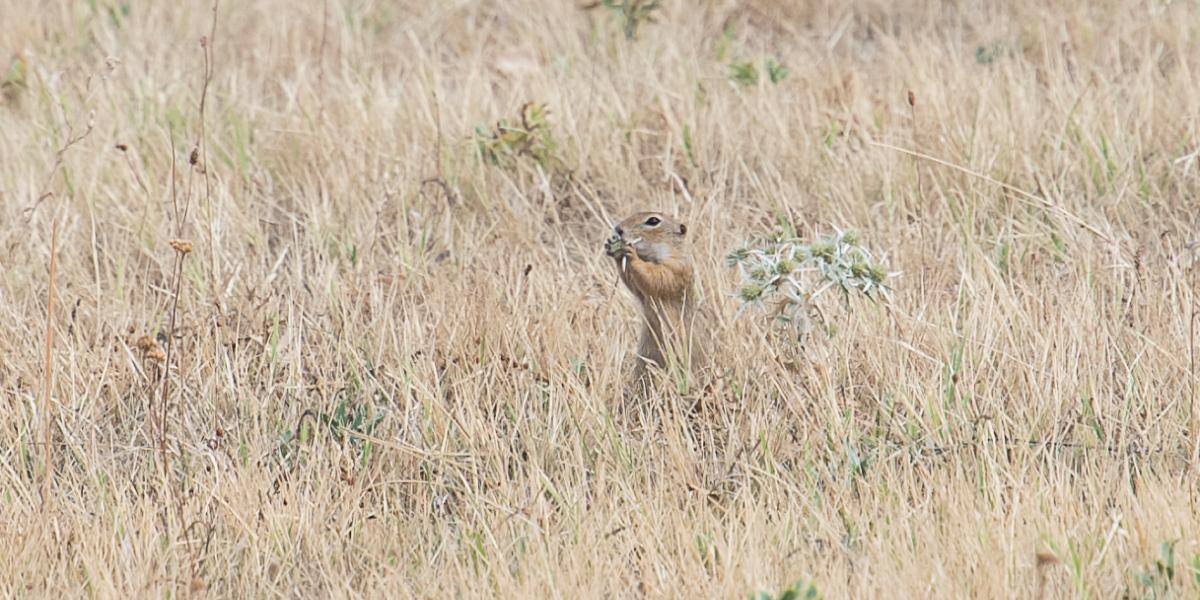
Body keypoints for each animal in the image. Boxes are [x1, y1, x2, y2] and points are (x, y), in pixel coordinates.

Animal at [609, 211, 700, 379]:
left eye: (653, 220)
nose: (618, 229)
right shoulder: (642, 293)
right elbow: (634, 285)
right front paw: (615, 252)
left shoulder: (675, 268)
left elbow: (654, 277)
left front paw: (631, 254)